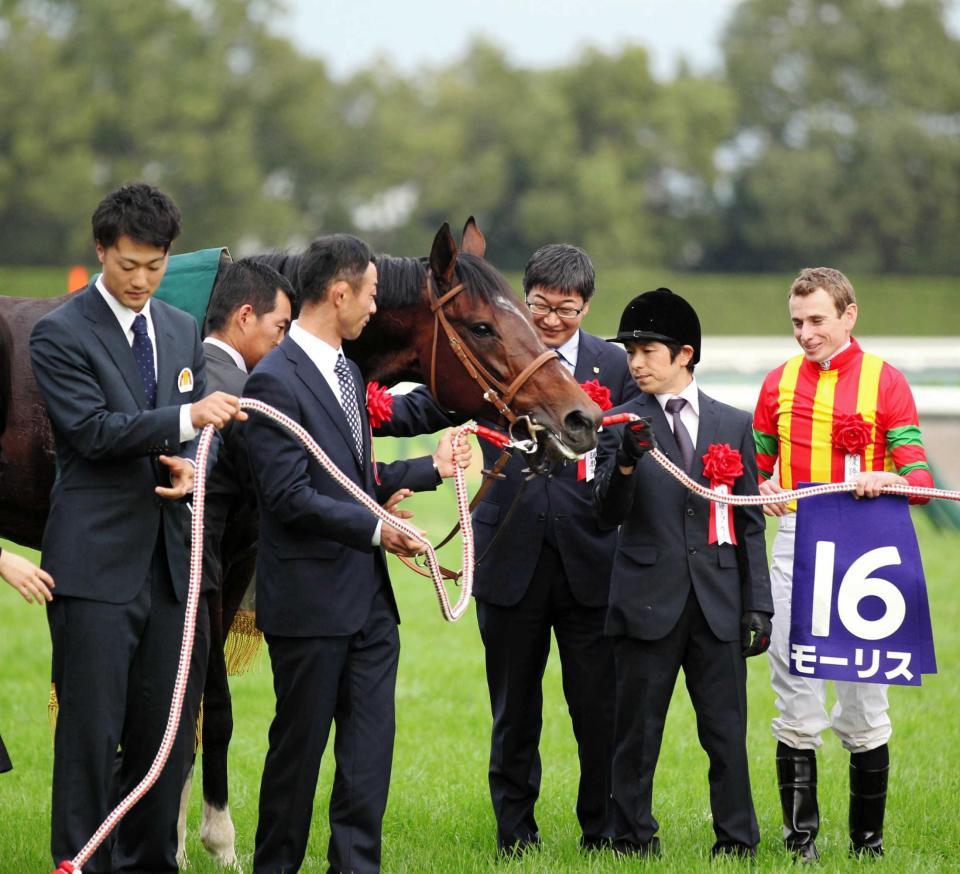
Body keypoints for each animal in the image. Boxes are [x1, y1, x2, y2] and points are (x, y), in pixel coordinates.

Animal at [0, 220, 600, 864]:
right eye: (482, 326)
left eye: (530, 316)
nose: (582, 418)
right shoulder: (204, 558)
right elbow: (199, 697)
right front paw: (192, 840)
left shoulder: (239, 556)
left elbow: (199, 705)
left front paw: (193, 837)